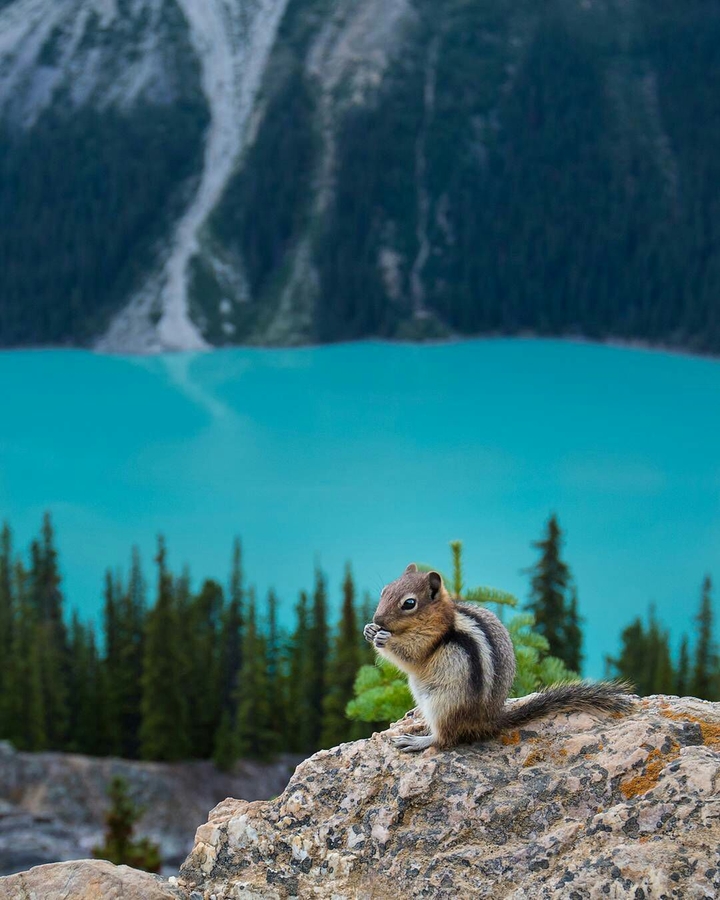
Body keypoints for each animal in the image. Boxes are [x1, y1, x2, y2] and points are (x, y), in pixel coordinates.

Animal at [363, 564, 633, 752]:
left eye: (409, 603)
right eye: (385, 591)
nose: (377, 619)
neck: (438, 617)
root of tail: (487, 721)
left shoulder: (430, 638)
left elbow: (411, 655)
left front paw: (383, 638)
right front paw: (369, 630)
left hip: (443, 704)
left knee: (446, 737)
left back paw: (419, 740)